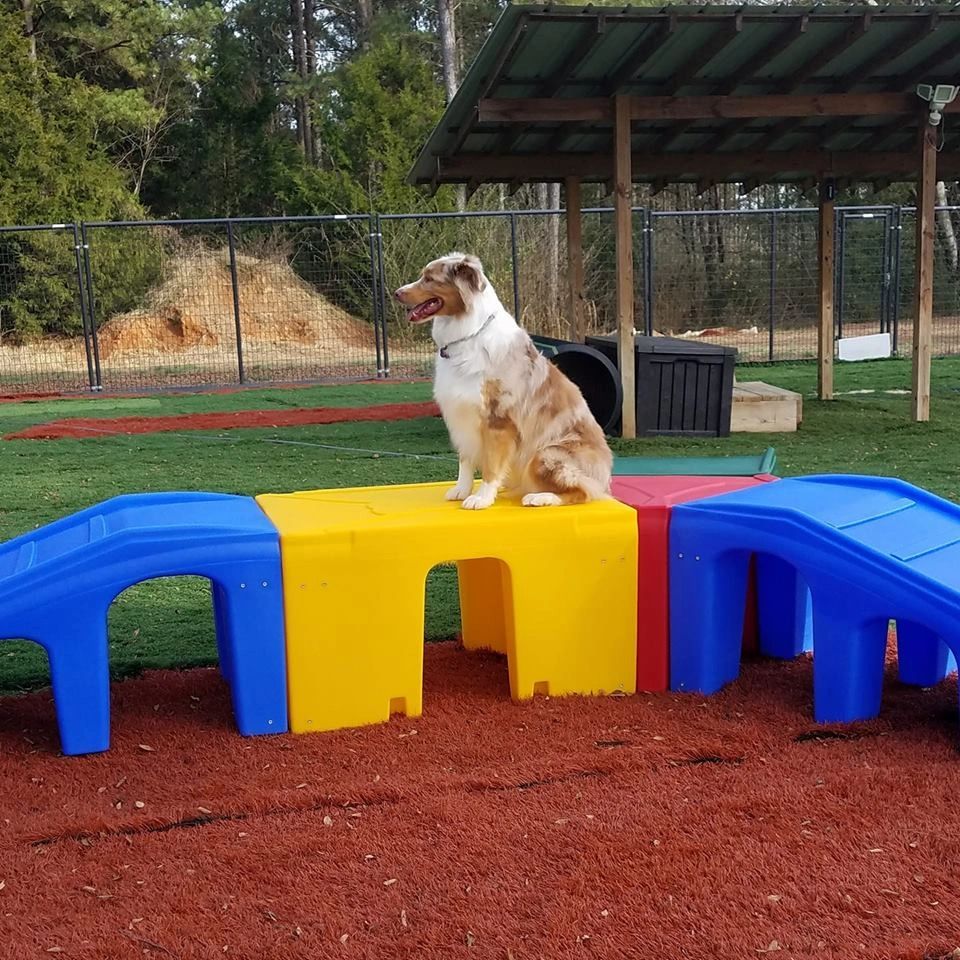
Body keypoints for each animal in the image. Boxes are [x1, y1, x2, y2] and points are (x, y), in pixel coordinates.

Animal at [394, 253, 612, 510]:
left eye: (429, 279)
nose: (397, 293)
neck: (468, 333)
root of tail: (606, 473)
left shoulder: (498, 420)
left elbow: (490, 464)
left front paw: (482, 498)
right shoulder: (462, 414)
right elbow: (465, 460)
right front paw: (462, 490)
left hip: (546, 454)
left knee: (583, 491)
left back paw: (540, 497)